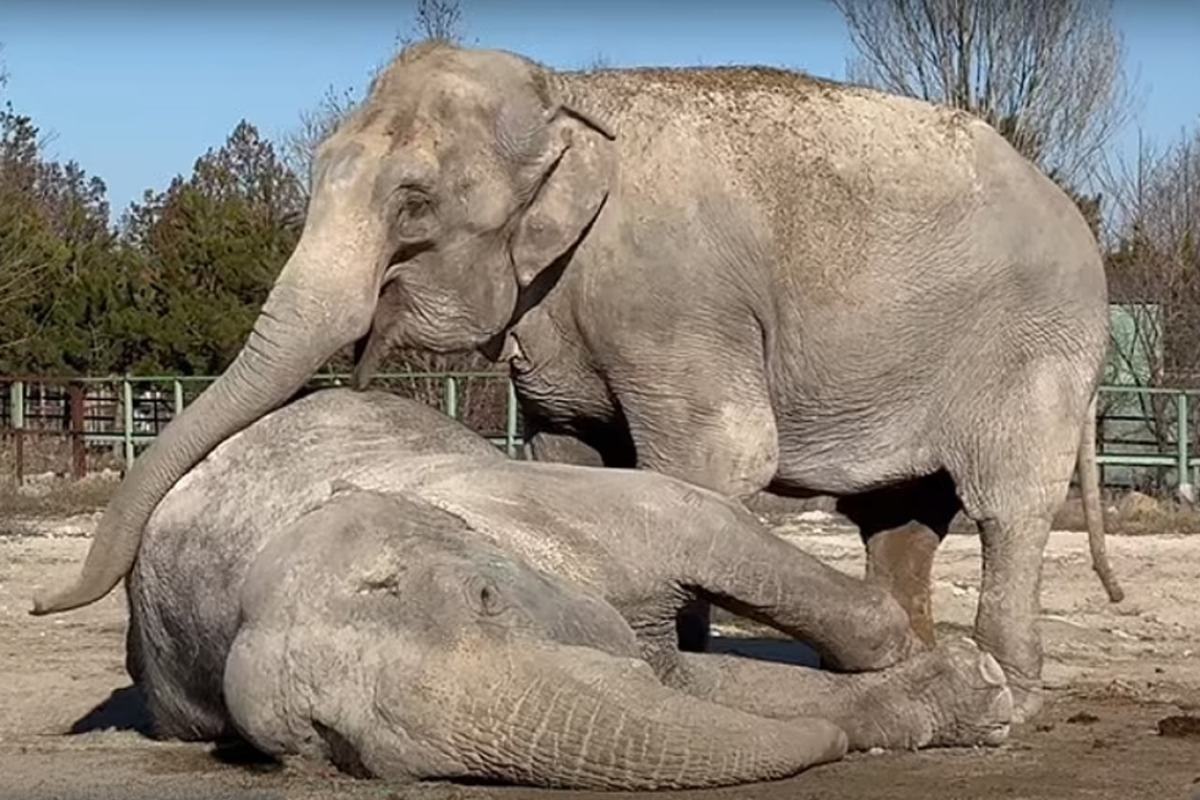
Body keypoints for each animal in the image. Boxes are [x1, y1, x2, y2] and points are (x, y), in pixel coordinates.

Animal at [39, 45, 1123, 724]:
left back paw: (1012, 689)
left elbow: (718, 455)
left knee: (1007, 504)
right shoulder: (557, 318)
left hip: (1035, 347)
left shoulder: (674, 294)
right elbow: (571, 449)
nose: (49, 604)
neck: (565, 87)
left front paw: (679, 659)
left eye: (414, 203)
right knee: (898, 519)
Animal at [131, 391, 1012, 791]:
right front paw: (968, 697)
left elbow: (707, 528)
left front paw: (971, 678)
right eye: (337, 746)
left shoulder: (548, 504)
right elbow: (685, 687)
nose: (827, 751)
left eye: (486, 598)